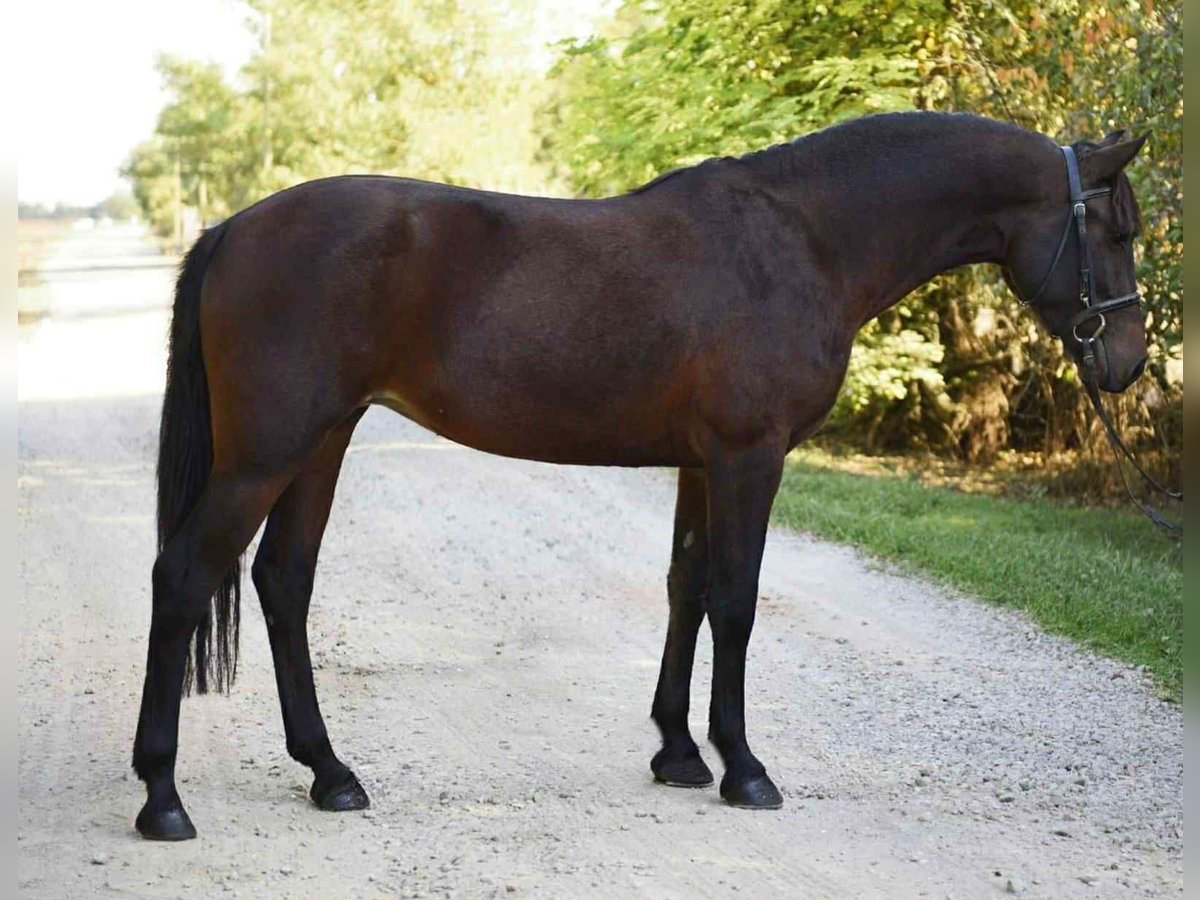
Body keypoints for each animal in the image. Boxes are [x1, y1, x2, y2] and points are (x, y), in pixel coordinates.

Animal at [131, 112, 1150, 840]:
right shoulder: (748, 457)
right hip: (267, 452)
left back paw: (330, 774)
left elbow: (685, 588)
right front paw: (744, 769)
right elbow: (736, 600)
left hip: (322, 440)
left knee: (282, 582)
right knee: (184, 577)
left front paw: (679, 754)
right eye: (1113, 229)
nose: (1130, 364)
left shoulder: (701, 463)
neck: (806, 239)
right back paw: (163, 798)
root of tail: (234, 227)